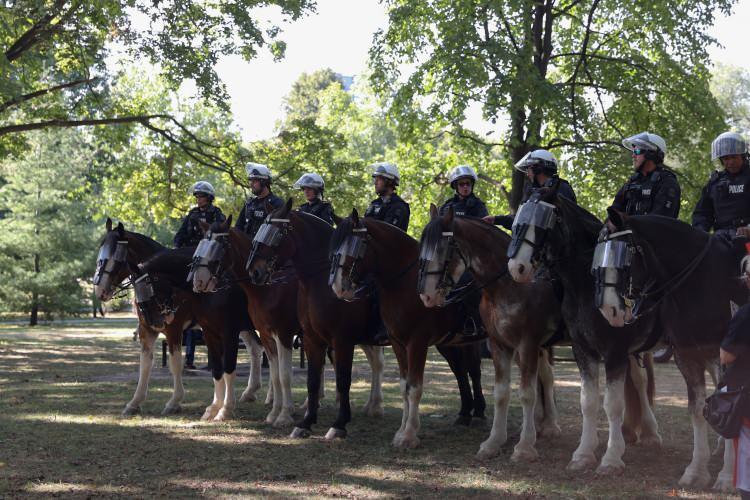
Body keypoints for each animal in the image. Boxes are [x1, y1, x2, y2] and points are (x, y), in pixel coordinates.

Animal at [192, 217, 304, 428]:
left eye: (221, 245)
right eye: (201, 244)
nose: (199, 281)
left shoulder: (235, 332)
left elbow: (230, 368)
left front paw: (225, 410)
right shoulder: (211, 333)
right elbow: (218, 369)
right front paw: (214, 408)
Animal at [330, 209, 488, 448]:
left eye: (355, 246)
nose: (338, 288)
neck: (406, 285)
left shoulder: (417, 343)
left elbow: (414, 388)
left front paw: (409, 435)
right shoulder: (398, 342)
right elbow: (404, 385)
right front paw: (402, 431)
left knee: (474, 371)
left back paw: (479, 413)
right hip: (449, 344)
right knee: (462, 370)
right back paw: (466, 413)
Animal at [418, 204, 564, 460]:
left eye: (443, 249)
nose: (426, 296)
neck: (509, 286)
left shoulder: (527, 343)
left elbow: (526, 393)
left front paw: (525, 447)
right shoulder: (500, 345)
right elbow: (502, 392)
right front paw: (494, 441)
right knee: (545, 376)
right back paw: (545, 424)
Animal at [506, 189, 664, 474]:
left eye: (543, 221)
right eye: (518, 219)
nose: (517, 267)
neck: (587, 285)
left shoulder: (615, 352)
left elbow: (612, 404)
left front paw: (612, 457)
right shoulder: (583, 350)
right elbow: (588, 402)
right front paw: (584, 454)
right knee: (638, 381)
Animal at [592, 209, 740, 490]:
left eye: (624, 254)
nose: (609, 310)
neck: (701, 282)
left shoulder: (725, 357)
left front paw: (727, 477)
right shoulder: (687, 356)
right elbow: (698, 410)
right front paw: (696, 471)